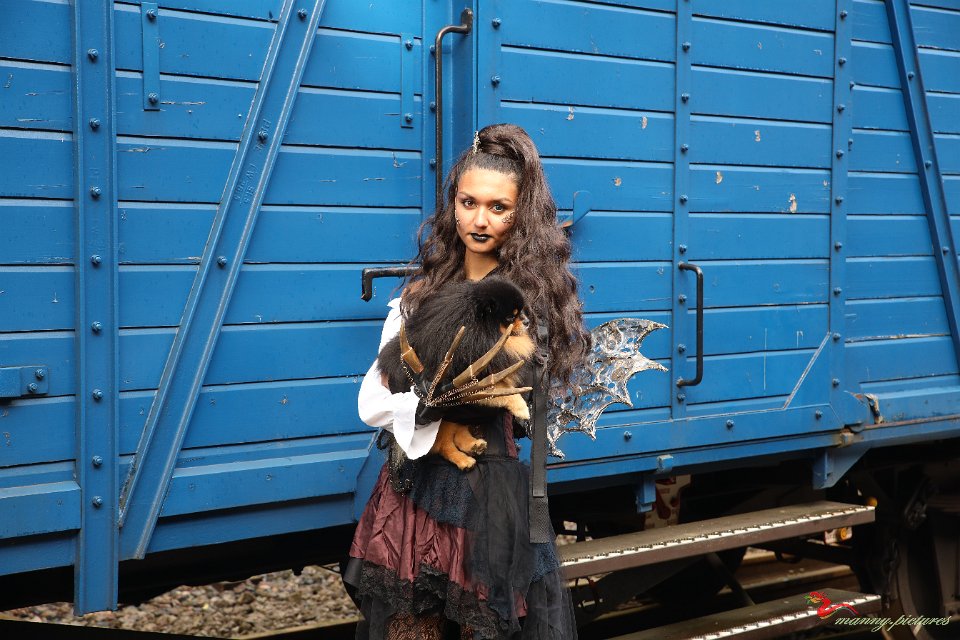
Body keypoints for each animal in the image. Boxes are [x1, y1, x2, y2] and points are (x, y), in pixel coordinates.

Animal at [378, 277, 535, 470]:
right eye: (510, 317)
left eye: (521, 313)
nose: (527, 321)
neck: (481, 330)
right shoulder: (461, 379)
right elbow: (501, 390)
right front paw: (521, 408)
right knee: (441, 445)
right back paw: (463, 460)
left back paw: (474, 445)